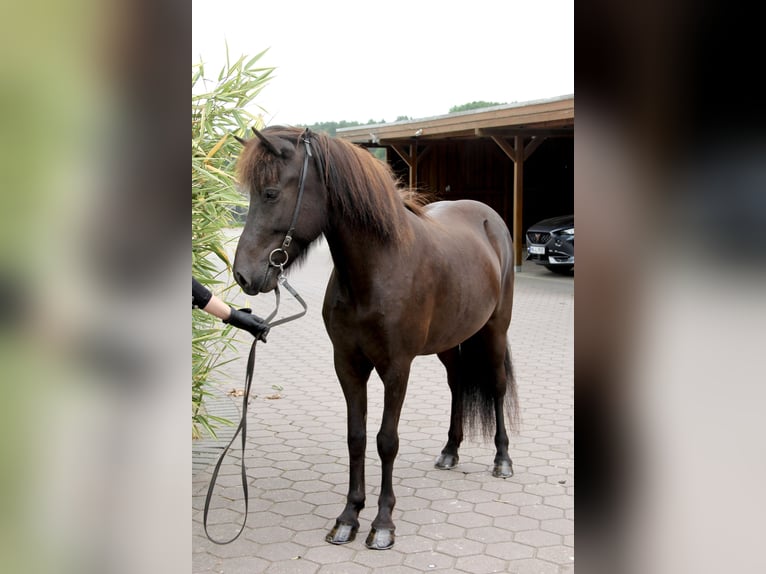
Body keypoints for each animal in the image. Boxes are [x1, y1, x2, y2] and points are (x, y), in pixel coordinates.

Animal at [232, 126, 518, 550]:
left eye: (269, 193)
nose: (243, 275)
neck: (378, 268)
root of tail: (489, 218)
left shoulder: (396, 368)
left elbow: (386, 440)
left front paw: (383, 523)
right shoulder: (348, 364)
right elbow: (357, 437)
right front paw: (349, 517)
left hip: (495, 330)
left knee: (497, 387)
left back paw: (502, 460)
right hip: (449, 342)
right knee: (457, 384)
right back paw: (450, 451)